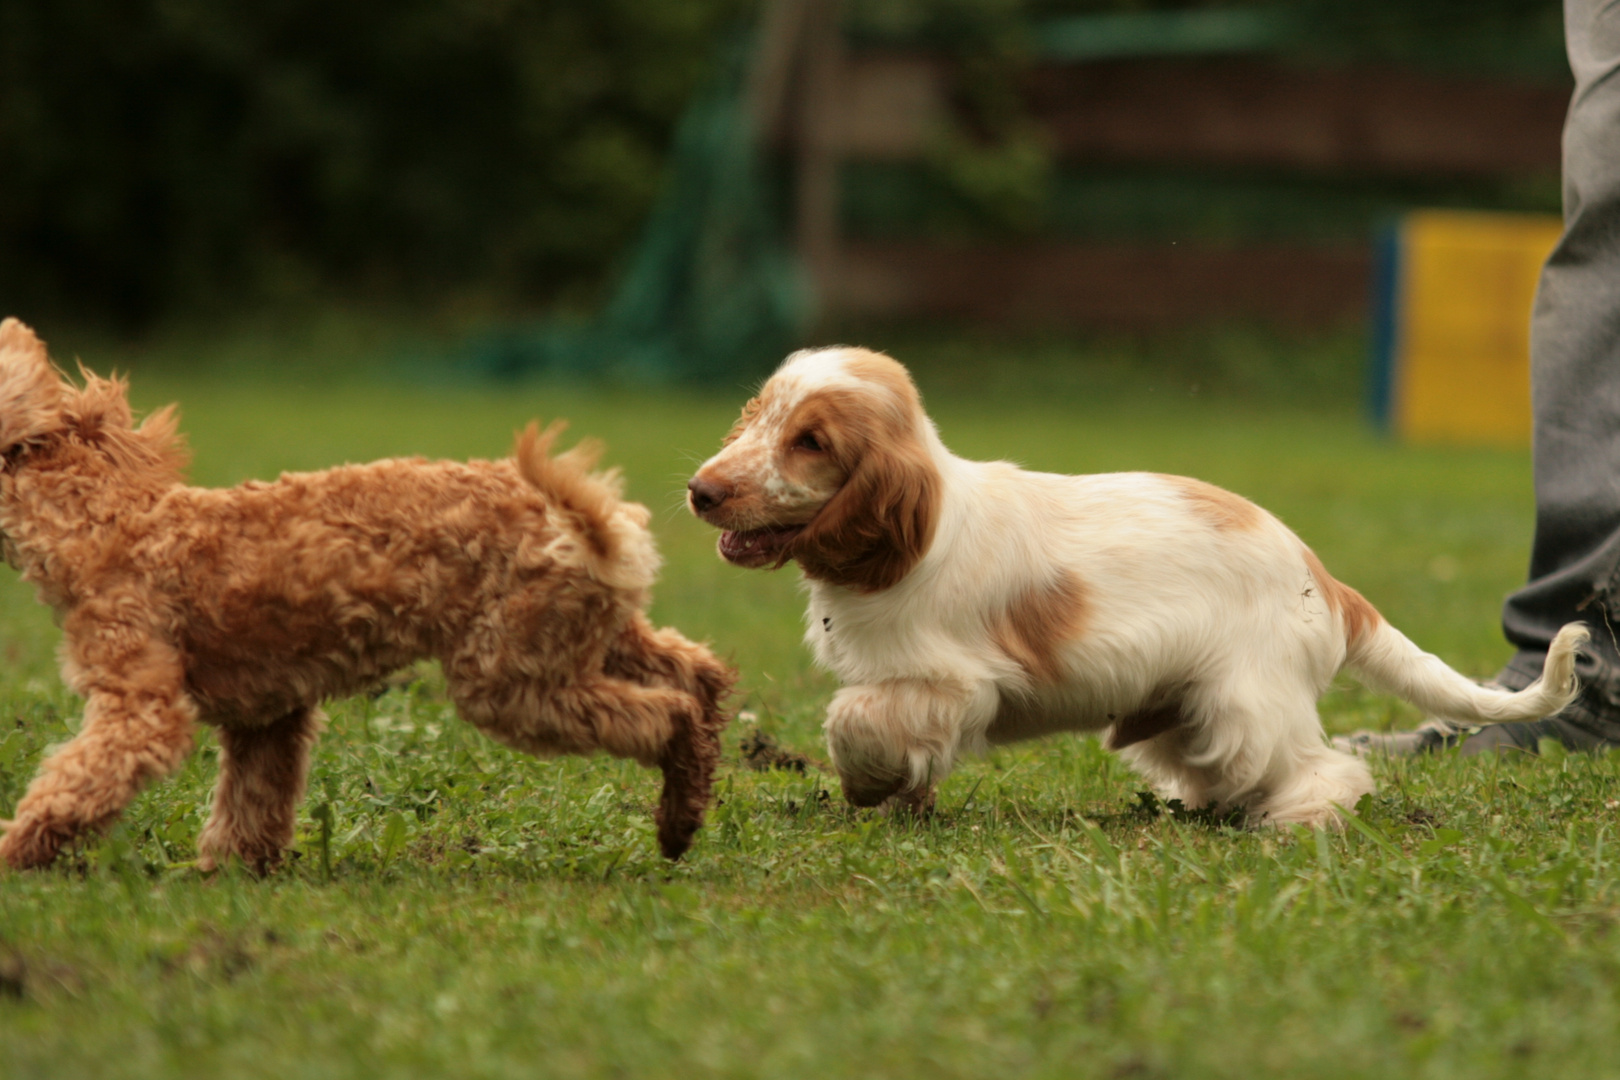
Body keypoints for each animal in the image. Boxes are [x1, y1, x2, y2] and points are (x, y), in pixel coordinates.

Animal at [0, 318, 729, 867]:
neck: (106, 520)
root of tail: (586, 524)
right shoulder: (267, 716)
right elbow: (252, 802)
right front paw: (231, 869)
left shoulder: (141, 707)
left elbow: (76, 784)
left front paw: (16, 852)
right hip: (589, 637)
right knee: (698, 674)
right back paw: (688, 805)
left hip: (507, 678)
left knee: (669, 712)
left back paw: (675, 816)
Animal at [690, 346, 1587, 829]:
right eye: (759, 415)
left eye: (811, 443)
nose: (702, 491)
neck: (923, 521)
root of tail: (1327, 581)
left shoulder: (949, 681)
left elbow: (855, 722)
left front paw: (867, 788)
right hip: (1184, 713)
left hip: (1246, 705)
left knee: (1325, 770)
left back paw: (1290, 822)